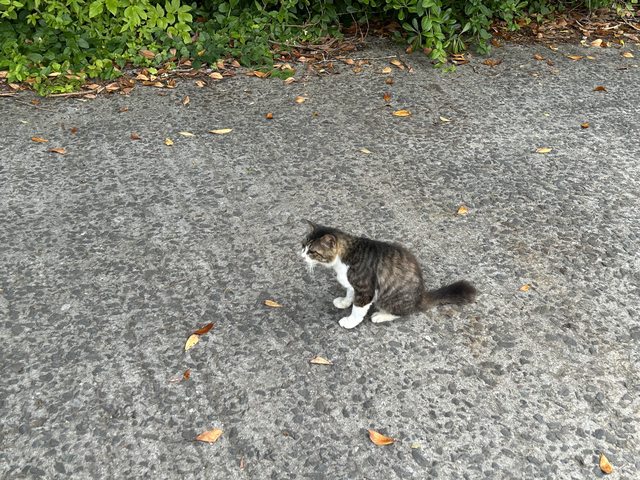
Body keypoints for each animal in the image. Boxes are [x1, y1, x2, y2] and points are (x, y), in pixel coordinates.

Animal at [300, 221, 476, 329]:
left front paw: (350, 321)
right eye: (303, 246)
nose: (301, 256)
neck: (346, 256)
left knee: (404, 312)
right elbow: (350, 293)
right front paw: (344, 302)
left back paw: (381, 315)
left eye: (312, 252)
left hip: (391, 297)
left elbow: (358, 309)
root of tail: (420, 296)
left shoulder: (365, 289)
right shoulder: (353, 285)